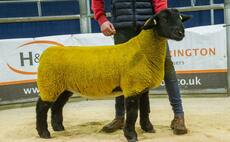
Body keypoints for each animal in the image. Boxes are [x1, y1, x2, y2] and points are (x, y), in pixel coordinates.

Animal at [35, 8, 190, 142]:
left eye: (180, 18)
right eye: (164, 19)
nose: (181, 33)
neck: (142, 50)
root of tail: (47, 52)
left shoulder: (142, 87)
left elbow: (145, 108)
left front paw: (148, 128)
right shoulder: (132, 88)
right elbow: (133, 113)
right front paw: (131, 136)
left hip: (63, 86)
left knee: (57, 106)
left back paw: (59, 128)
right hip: (49, 84)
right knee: (41, 107)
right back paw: (44, 133)